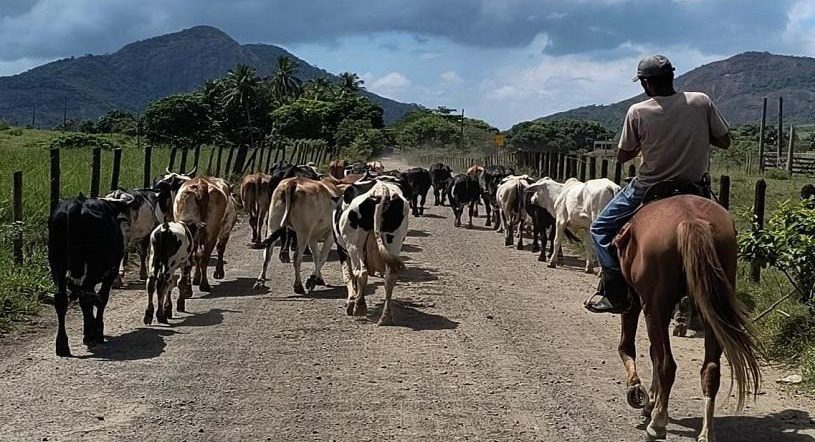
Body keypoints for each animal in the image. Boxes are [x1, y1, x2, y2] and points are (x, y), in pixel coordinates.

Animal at [47, 195, 131, 358]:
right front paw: (96, 332)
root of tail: (76, 206)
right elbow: (101, 299)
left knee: (62, 299)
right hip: (92, 267)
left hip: (57, 263)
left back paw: (62, 345)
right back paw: (91, 335)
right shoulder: (110, 273)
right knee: (86, 297)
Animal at [172, 176, 236, 304]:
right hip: (212, 231)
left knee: (191, 259)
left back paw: (187, 289)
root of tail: (201, 183)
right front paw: (219, 273)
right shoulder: (226, 230)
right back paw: (204, 285)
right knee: (205, 257)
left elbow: (197, 255)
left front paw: (196, 278)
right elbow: (220, 249)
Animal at [332, 180, 408, 324]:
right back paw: (386, 316)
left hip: (354, 245)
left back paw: (360, 306)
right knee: (390, 278)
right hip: (394, 242)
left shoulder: (342, 250)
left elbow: (348, 275)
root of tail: (382, 189)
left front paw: (351, 301)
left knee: (361, 272)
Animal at [616, 196, 760, 442]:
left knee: (666, 364)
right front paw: (651, 400)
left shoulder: (635, 300)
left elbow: (629, 347)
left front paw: (638, 393)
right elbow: (653, 352)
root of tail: (692, 221)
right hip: (711, 309)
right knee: (710, 370)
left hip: (655, 308)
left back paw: (657, 424)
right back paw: (706, 432)